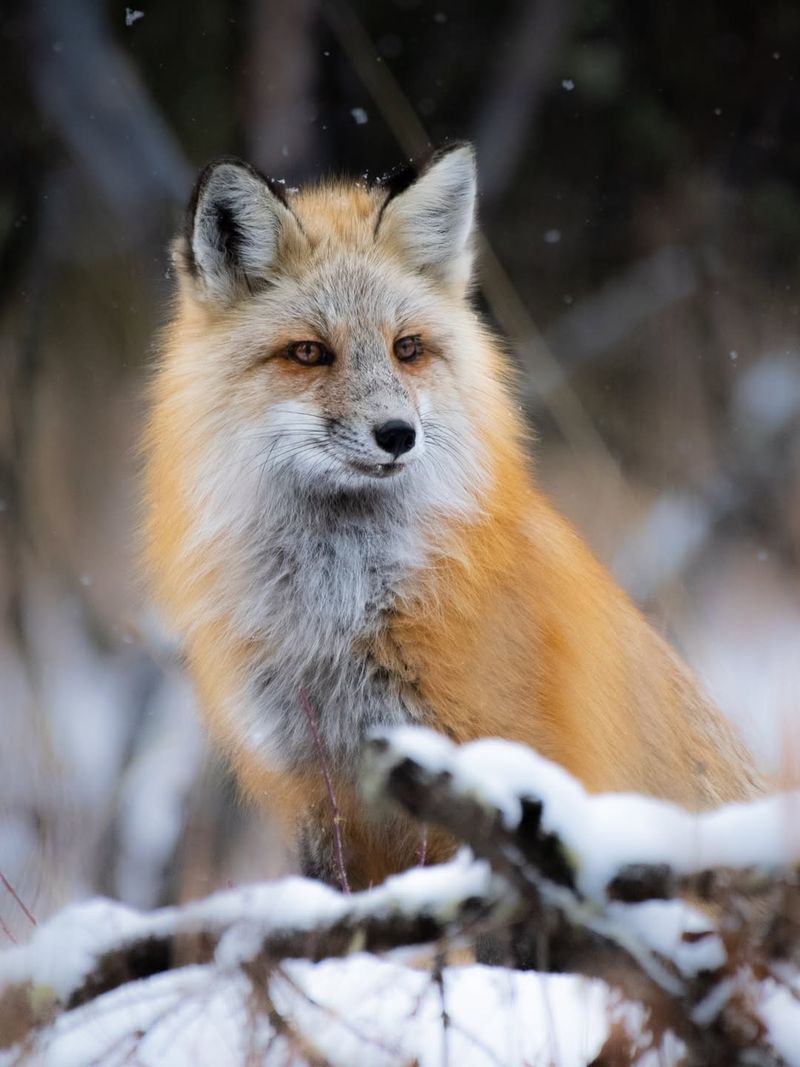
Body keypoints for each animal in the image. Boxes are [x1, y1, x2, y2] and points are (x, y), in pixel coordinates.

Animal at [142, 143, 762, 890]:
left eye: (407, 348)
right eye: (309, 352)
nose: (397, 435)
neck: (339, 612)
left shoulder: (503, 770)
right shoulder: (317, 791)